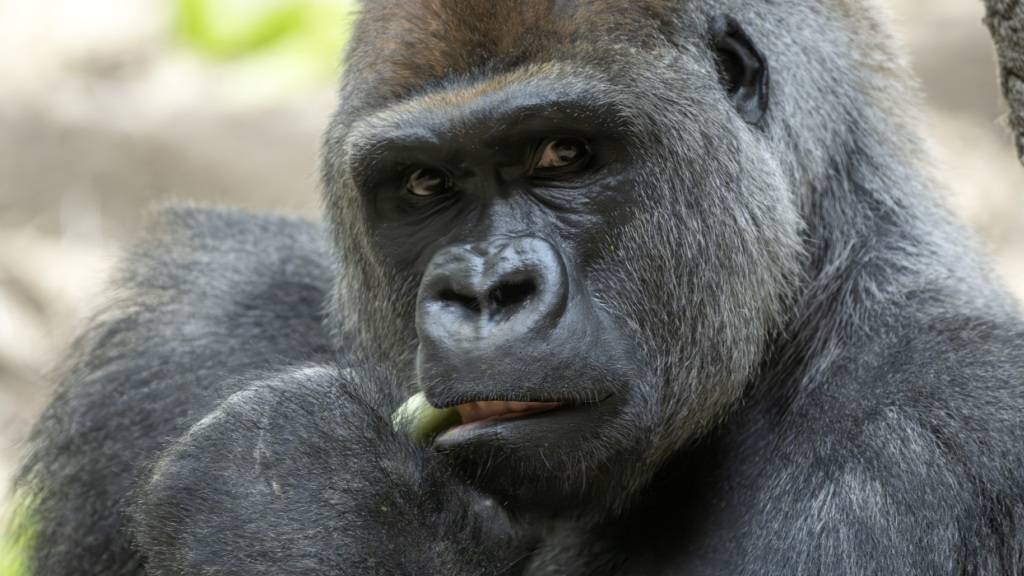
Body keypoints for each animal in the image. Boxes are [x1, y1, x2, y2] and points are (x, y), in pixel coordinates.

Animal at [12, 1, 1024, 574]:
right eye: (425, 185)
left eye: (564, 155)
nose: (487, 290)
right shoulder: (198, 326)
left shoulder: (953, 422)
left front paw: (300, 502)